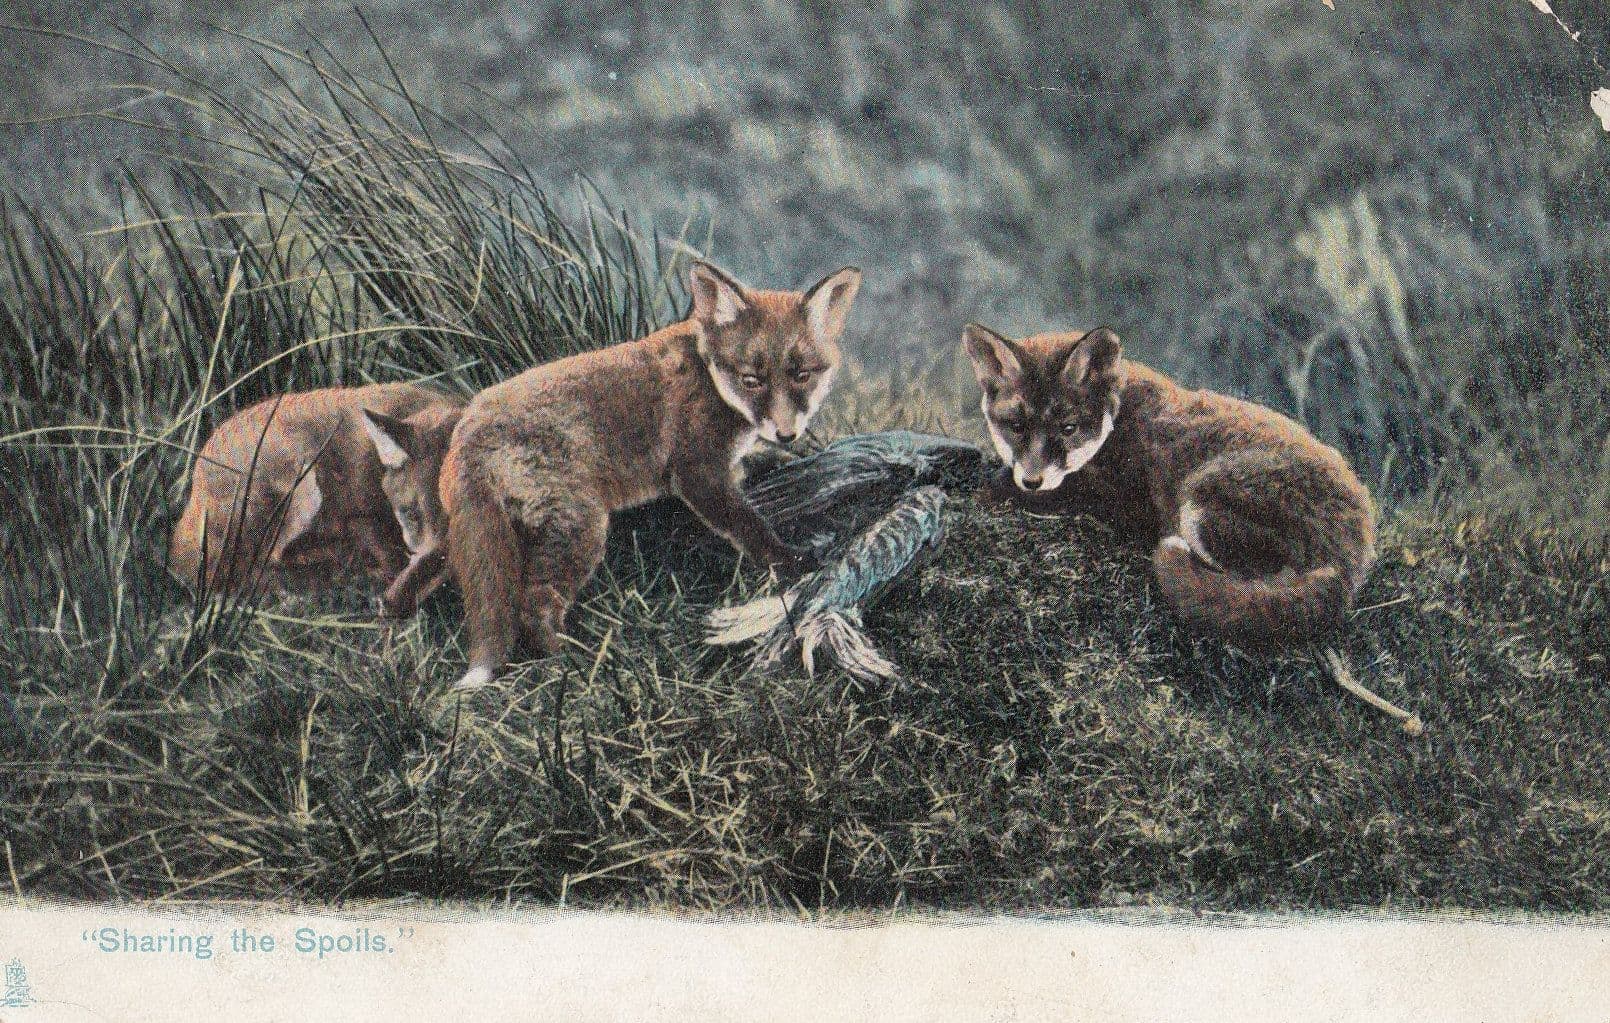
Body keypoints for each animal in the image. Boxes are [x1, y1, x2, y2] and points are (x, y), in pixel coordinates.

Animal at [169, 383, 465, 601]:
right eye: (411, 513)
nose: (432, 590)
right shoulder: (358, 512)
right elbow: (385, 552)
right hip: (305, 487)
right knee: (267, 565)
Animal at [442, 259, 862, 689]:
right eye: (752, 380)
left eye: (802, 375)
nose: (787, 433)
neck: (709, 379)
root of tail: (465, 430)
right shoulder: (696, 474)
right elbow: (750, 527)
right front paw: (790, 561)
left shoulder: (728, 464)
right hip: (583, 527)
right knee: (535, 604)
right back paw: (572, 665)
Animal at [963, 323, 1376, 648]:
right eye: (1017, 426)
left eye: (1068, 428)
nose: (1032, 481)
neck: (1119, 418)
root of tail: (1351, 561)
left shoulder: (1127, 500)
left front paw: (991, 490)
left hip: (1198, 502)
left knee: (1255, 583)